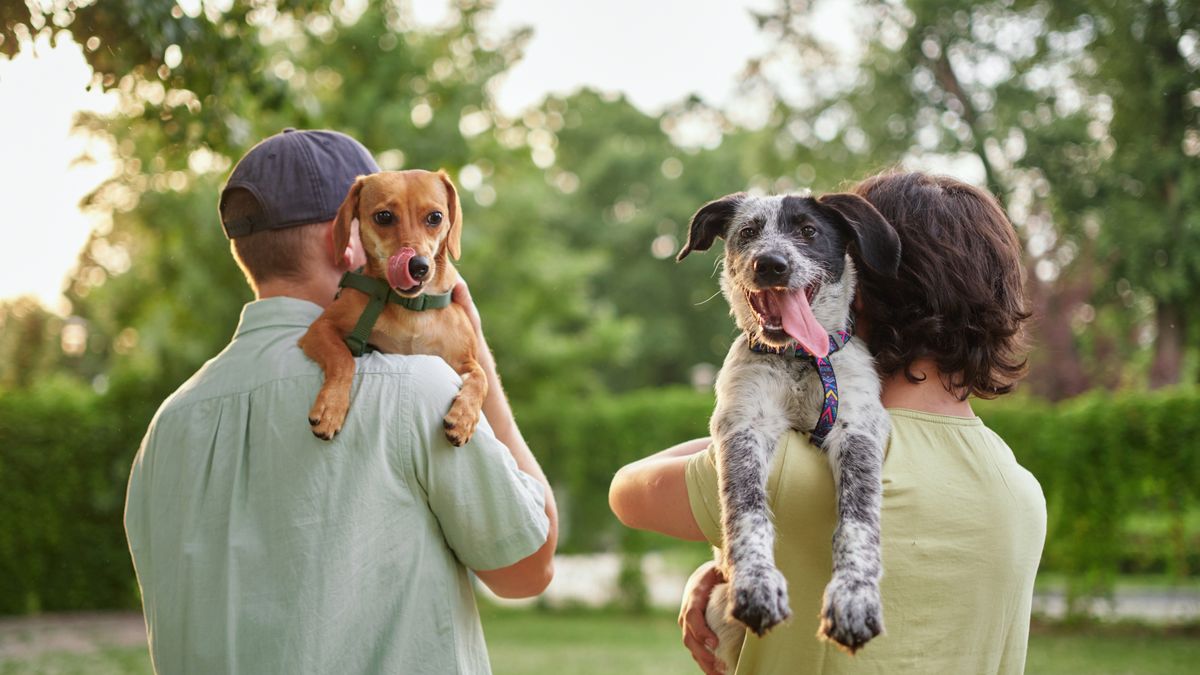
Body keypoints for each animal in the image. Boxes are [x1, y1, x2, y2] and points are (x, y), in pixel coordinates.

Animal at [297, 168, 484, 444]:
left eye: (435, 217)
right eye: (383, 216)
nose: (418, 266)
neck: (412, 307)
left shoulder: (464, 359)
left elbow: (482, 378)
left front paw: (464, 417)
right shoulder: (320, 329)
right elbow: (343, 358)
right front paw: (331, 407)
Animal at [681, 187, 897, 658]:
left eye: (809, 231)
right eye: (748, 232)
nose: (771, 264)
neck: (799, 359)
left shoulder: (858, 429)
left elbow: (858, 521)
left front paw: (854, 600)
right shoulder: (743, 426)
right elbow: (747, 512)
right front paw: (757, 586)